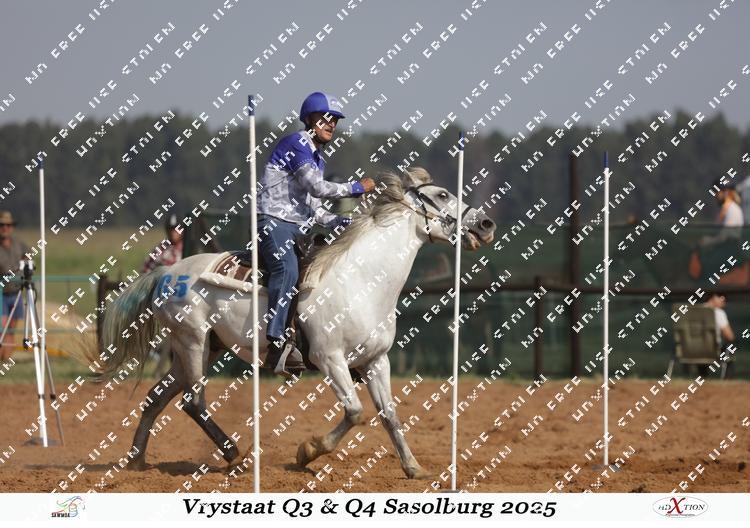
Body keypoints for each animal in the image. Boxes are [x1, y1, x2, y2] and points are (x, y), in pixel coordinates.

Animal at [88, 167, 496, 479]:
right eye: (442, 194)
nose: (486, 223)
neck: (361, 279)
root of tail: (169, 272)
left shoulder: (375, 361)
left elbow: (390, 416)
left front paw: (413, 468)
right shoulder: (330, 359)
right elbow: (355, 412)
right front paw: (308, 451)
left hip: (201, 348)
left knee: (157, 398)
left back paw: (136, 461)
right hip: (193, 342)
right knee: (193, 401)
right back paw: (234, 455)